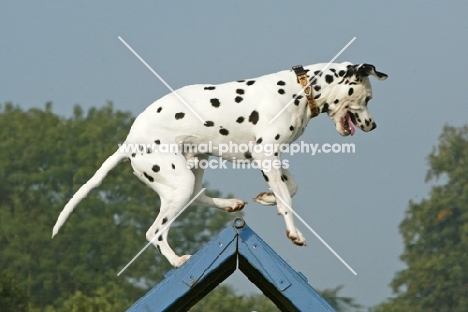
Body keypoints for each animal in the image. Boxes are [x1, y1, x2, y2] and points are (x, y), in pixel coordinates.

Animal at [52, 61, 388, 268]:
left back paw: (229, 204)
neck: (299, 90)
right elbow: (288, 199)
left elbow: (290, 187)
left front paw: (269, 199)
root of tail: (130, 141)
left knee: (198, 195)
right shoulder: (266, 155)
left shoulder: (269, 158)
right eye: (368, 98)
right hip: (179, 182)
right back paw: (178, 260)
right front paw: (293, 231)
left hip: (193, 169)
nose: (373, 126)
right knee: (154, 233)